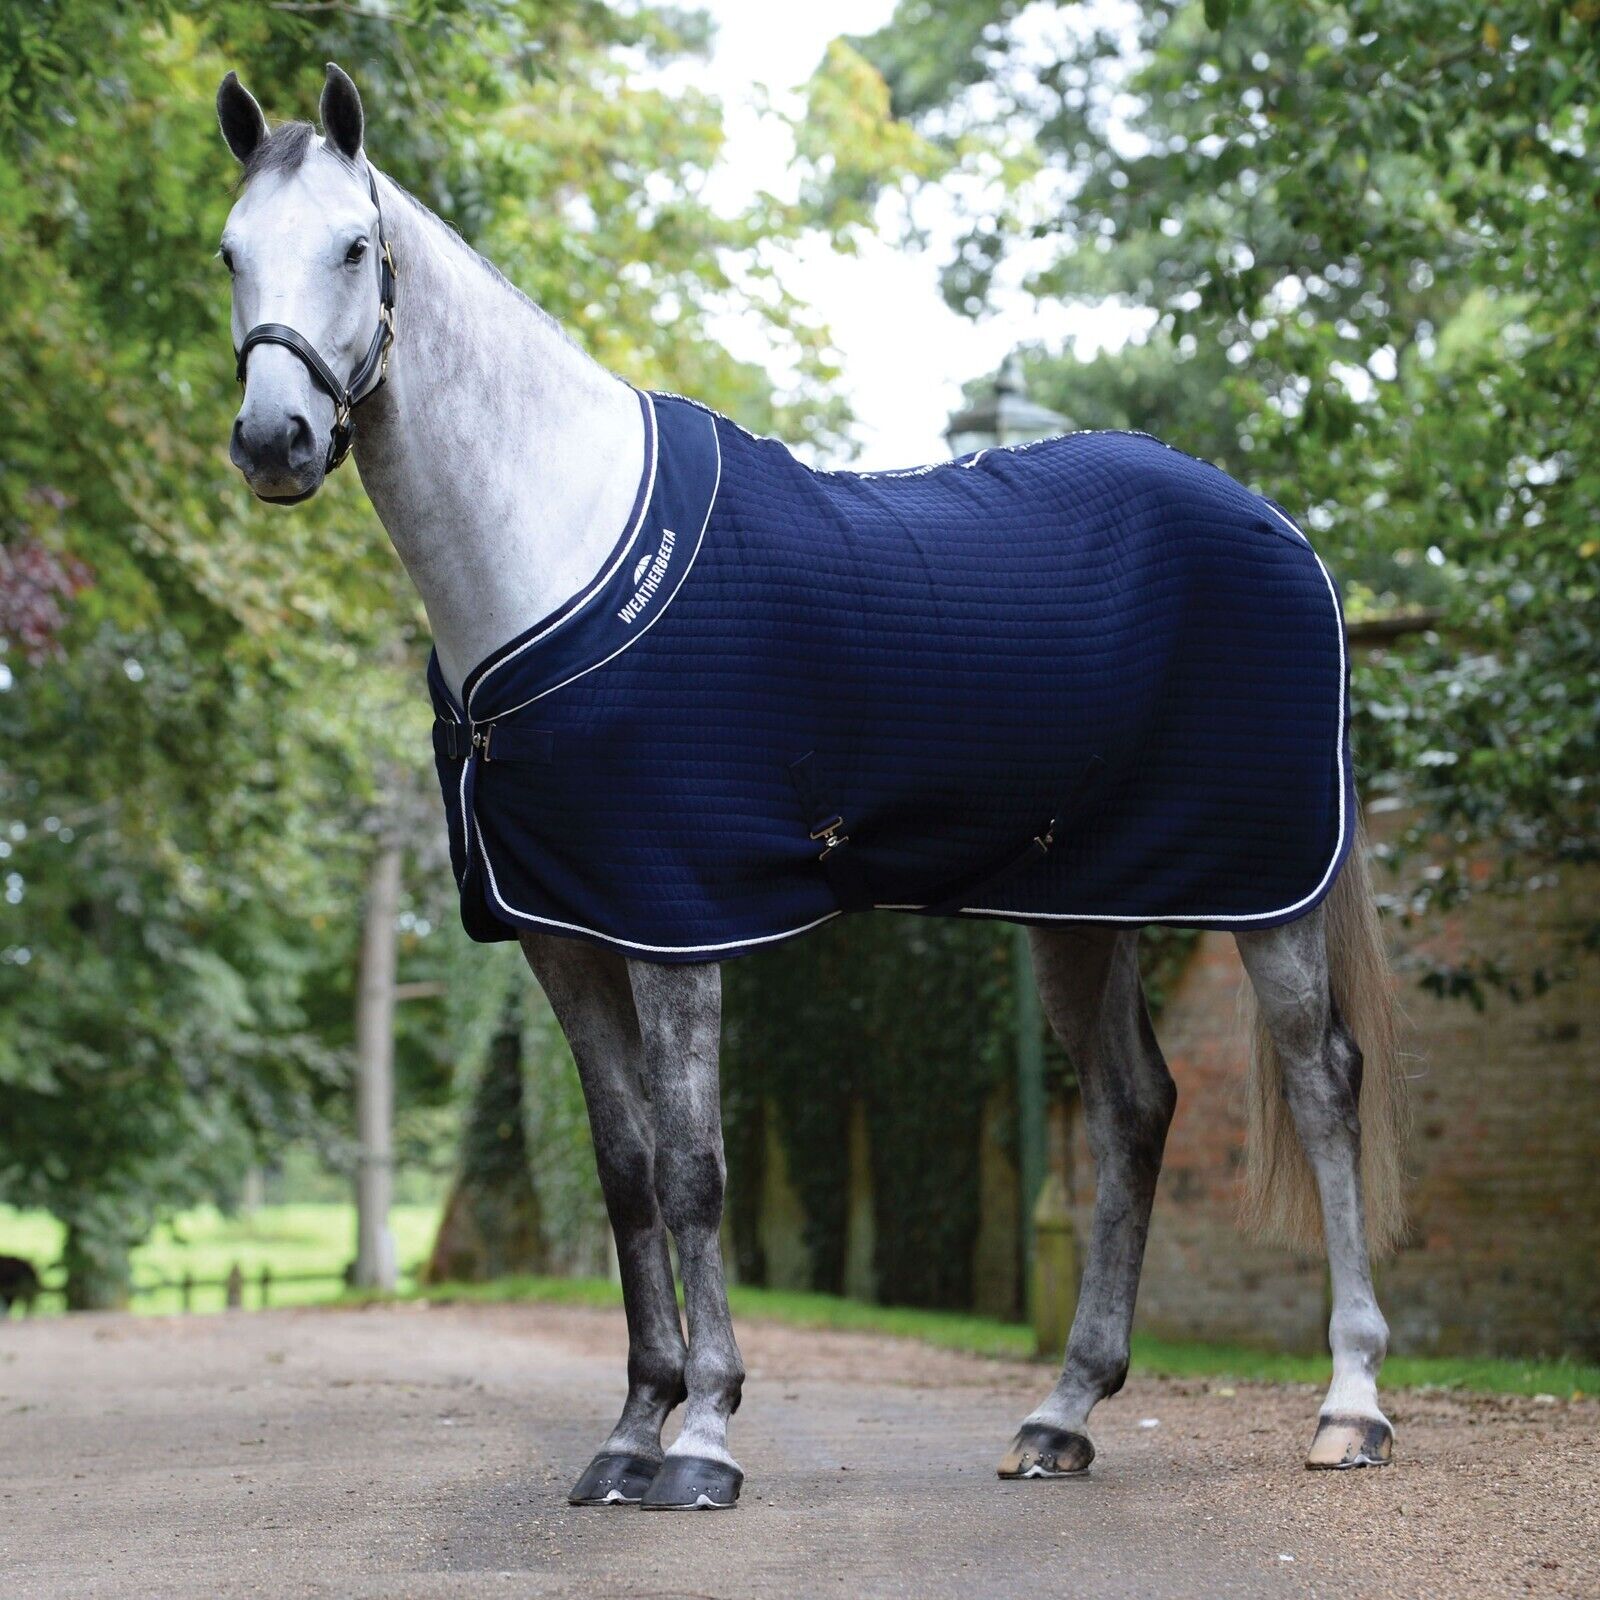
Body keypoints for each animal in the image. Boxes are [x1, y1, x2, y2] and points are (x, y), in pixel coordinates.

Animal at [214, 64, 1407, 1510]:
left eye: (353, 247)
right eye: (229, 253)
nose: (275, 439)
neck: (558, 549)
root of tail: (1287, 535)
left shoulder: (675, 922)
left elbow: (694, 1170)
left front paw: (706, 1439)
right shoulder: (563, 935)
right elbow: (624, 1173)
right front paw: (631, 1432)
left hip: (1263, 891)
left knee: (1321, 1085)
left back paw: (1350, 1404)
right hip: (1081, 909)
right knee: (1134, 1106)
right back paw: (1062, 1414)